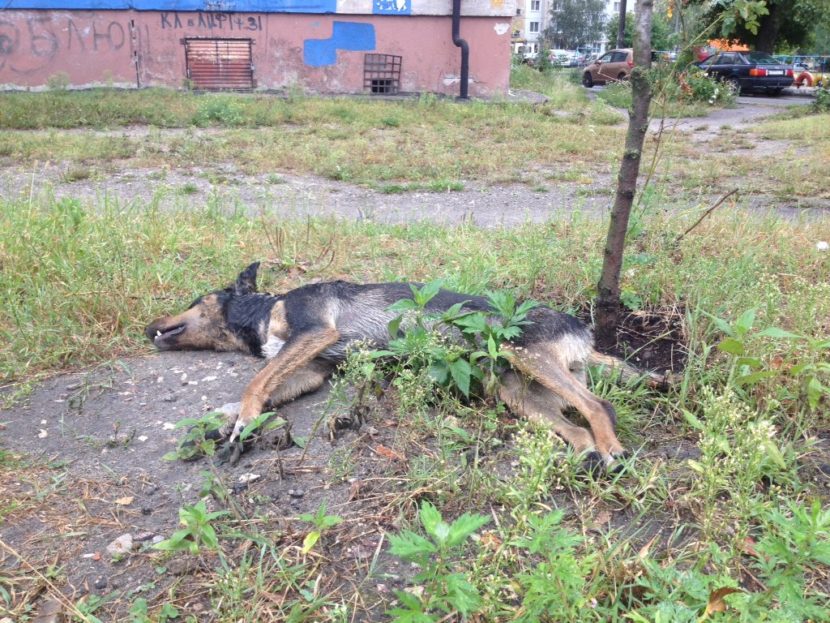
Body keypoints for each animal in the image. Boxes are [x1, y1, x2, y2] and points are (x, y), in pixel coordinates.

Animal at [143, 262, 664, 468]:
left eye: (194, 299)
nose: (149, 325)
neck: (265, 310)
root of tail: (584, 333)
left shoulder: (315, 332)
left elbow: (255, 384)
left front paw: (242, 421)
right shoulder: (312, 369)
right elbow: (263, 388)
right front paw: (226, 426)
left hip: (527, 356)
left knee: (599, 408)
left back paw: (613, 453)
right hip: (520, 393)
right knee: (576, 430)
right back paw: (589, 457)